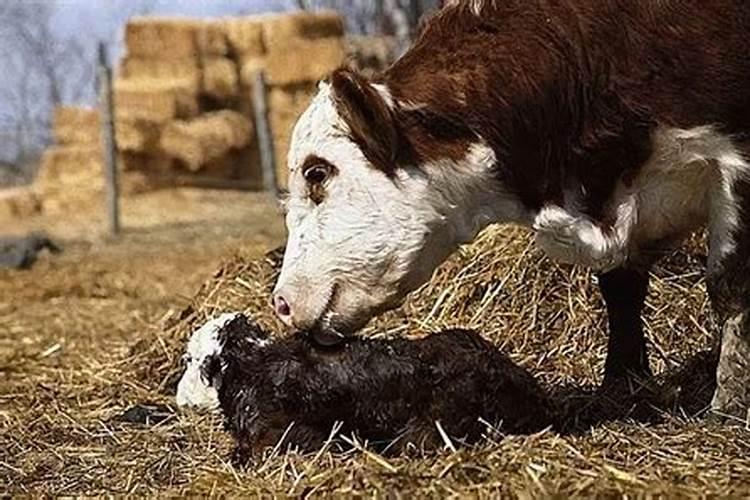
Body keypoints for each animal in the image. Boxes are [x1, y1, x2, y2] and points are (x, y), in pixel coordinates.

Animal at [274, 0, 750, 420]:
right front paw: (620, 387)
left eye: (317, 172)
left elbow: (730, 286)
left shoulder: (736, 164)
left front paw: (727, 404)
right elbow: (622, 294)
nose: (280, 301)